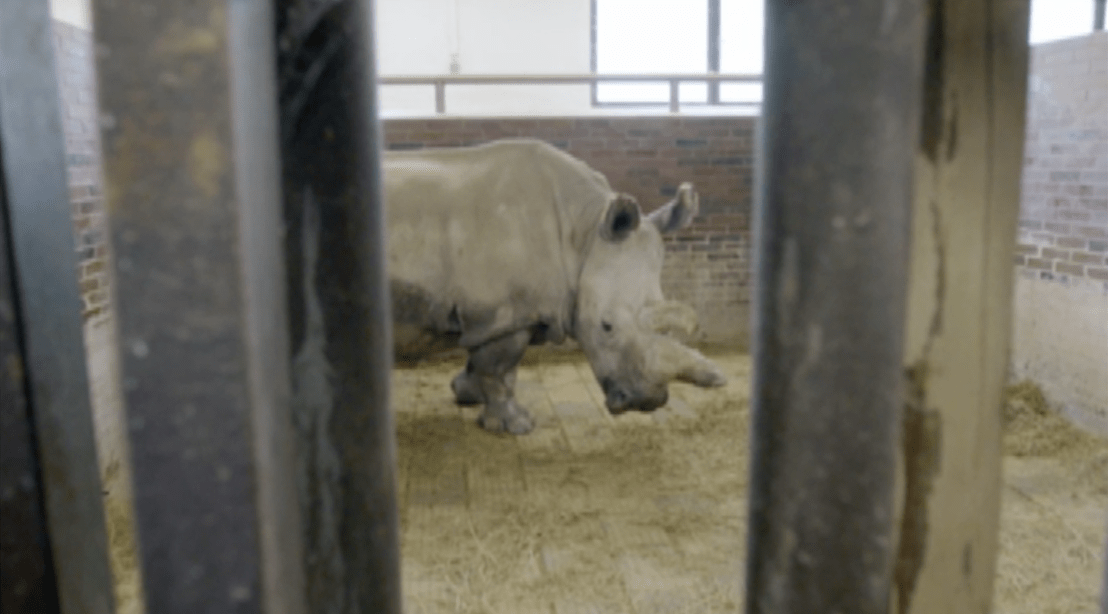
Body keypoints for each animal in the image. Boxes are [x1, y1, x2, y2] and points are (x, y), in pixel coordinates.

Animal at [384, 138, 726, 434]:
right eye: (606, 326)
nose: (647, 402)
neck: (584, 236)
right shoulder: (504, 312)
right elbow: (499, 370)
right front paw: (515, 426)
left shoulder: (506, 314)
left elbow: (492, 366)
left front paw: (467, 394)